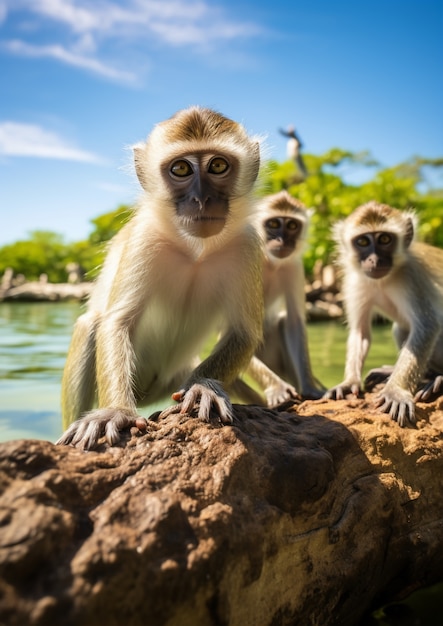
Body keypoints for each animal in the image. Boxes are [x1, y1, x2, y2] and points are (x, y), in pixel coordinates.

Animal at [56, 107, 266, 448]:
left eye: (218, 165)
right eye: (181, 168)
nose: (202, 199)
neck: (195, 250)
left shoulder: (247, 244)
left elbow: (244, 333)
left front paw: (203, 386)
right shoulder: (145, 237)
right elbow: (116, 322)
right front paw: (115, 412)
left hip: (171, 379)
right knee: (91, 324)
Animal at [236, 189, 326, 404]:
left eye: (292, 225)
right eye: (274, 224)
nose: (282, 240)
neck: (269, 260)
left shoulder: (294, 266)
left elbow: (294, 322)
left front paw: (310, 388)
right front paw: (277, 388)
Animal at [324, 200, 443, 424]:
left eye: (385, 239)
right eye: (362, 241)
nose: (374, 260)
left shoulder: (411, 276)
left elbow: (427, 326)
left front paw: (396, 391)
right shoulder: (355, 280)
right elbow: (360, 331)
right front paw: (349, 382)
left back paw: (438, 378)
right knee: (400, 328)